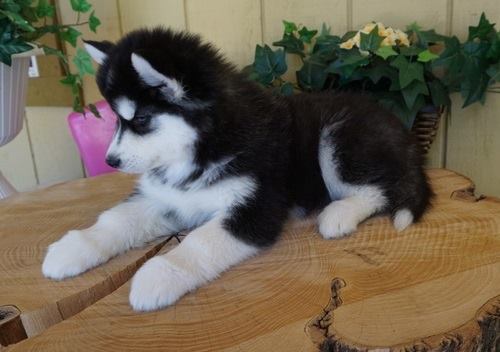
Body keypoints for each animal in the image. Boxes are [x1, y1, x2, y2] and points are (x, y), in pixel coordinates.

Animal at [42, 28, 434, 312]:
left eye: (140, 120)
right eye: (116, 120)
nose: (112, 161)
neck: (200, 151)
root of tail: (401, 132)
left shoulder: (255, 208)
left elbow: (200, 242)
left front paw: (160, 274)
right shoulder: (166, 198)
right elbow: (116, 219)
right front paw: (73, 248)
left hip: (338, 137)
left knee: (378, 189)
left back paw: (339, 214)